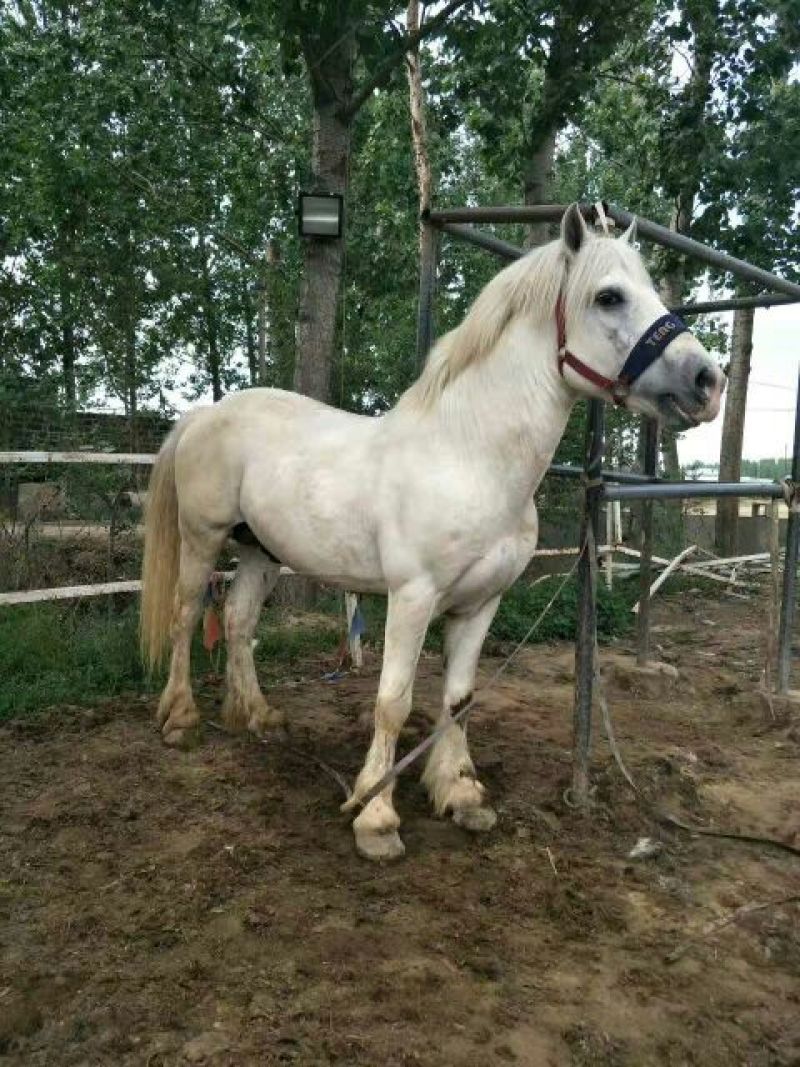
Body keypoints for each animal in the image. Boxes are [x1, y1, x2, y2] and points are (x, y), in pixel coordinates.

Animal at [140, 204, 724, 861]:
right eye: (609, 296)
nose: (707, 381)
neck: (470, 456)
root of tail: (206, 413)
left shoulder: (482, 602)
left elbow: (458, 699)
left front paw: (459, 791)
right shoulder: (412, 597)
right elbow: (392, 703)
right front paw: (375, 814)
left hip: (261, 551)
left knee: (239, 623)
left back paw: (258, 717)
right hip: (202, 538)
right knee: (187, 617)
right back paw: (181, 719)